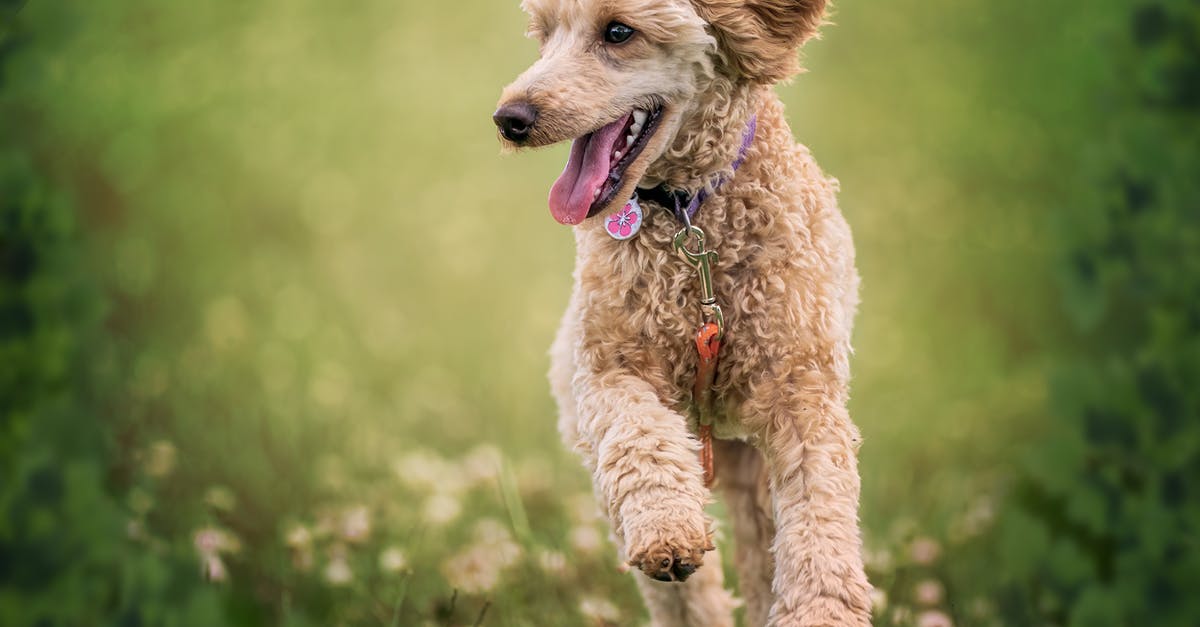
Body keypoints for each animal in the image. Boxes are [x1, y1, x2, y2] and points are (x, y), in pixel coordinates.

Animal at [492, 2, 868, 619]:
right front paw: (667, 531)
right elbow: (640, 439)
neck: (688, 219)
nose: (510, 118)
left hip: (748, 463)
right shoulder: (609, 368)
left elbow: (821, 508)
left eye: (619, 31)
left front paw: (819, 611)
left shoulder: (801, 392)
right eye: (544, 35)